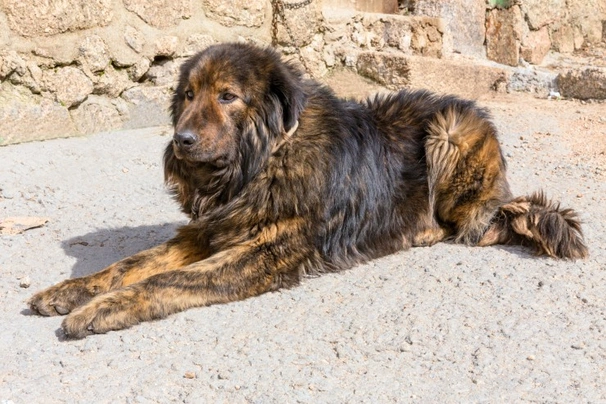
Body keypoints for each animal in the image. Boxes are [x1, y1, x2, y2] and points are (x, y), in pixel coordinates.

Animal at [29, 42, 588, 338]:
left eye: (227, 97)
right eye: (188, 95)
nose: (180, 141)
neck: (257, 166)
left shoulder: (263, 252)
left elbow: (164, 280)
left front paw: (99, 309)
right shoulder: (204, 234)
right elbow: (129, 264)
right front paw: (68, 290)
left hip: (450, 131)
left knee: (487, 224)